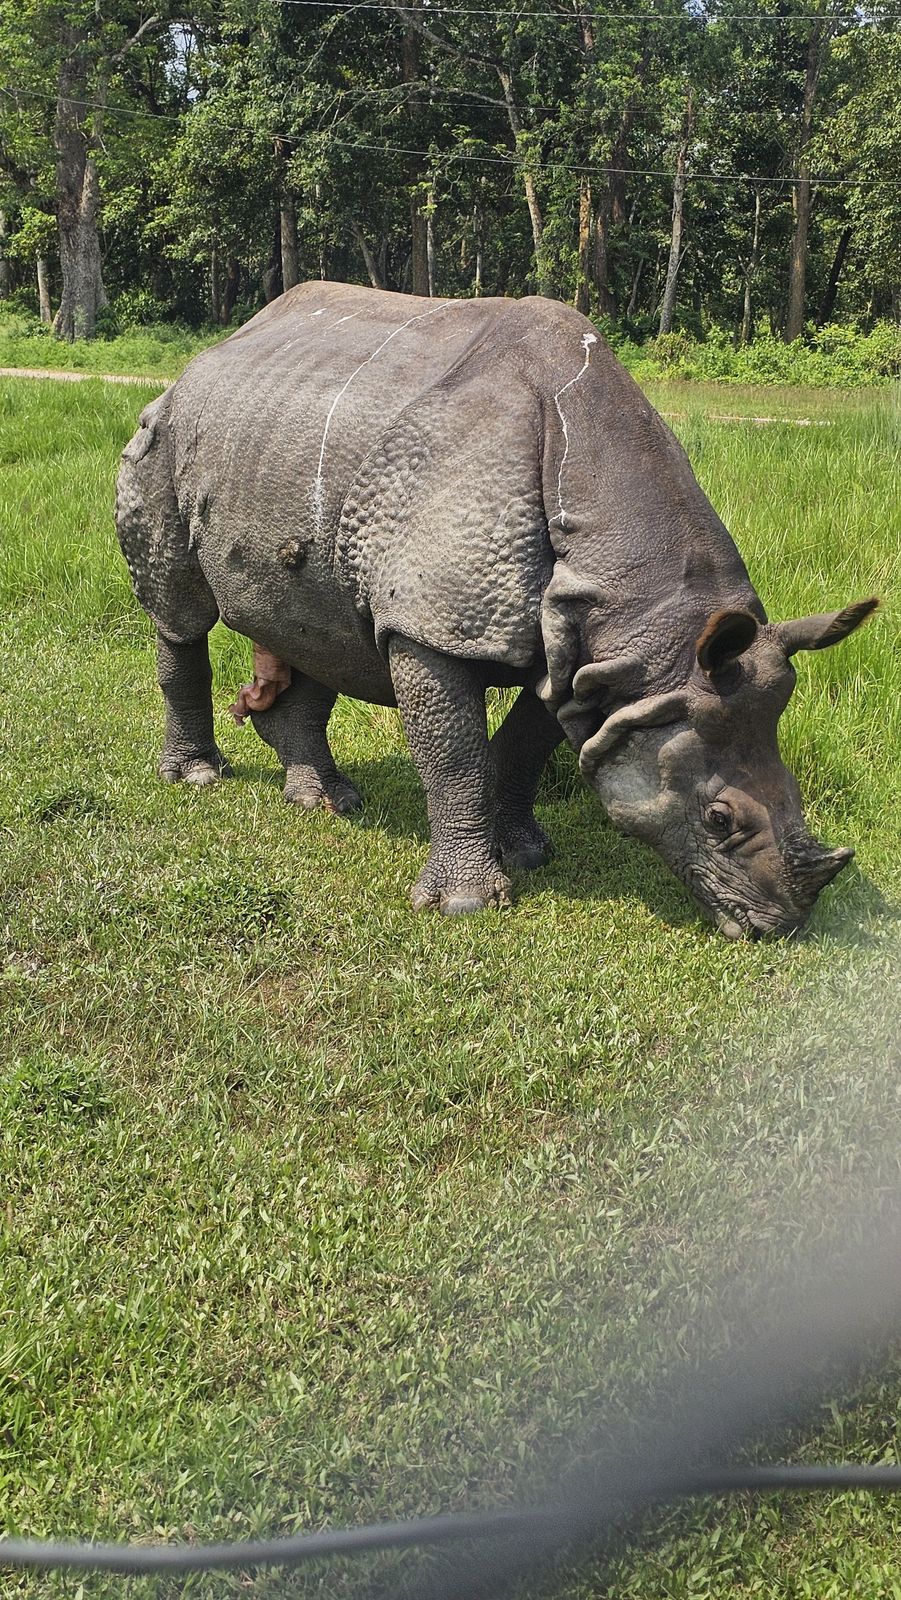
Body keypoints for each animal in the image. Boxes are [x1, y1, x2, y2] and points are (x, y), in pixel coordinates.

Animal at [116, 281, 876, 935]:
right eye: (718, 821)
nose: (779, 926)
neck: (654, 632)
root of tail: (209, 354)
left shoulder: (589, 654)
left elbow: (522, 747)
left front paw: (527, 853)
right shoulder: (433, 628)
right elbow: (452, 755)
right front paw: (466, 904)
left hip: (283, 448)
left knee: (313, 622)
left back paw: (327, 800)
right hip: (163, 435)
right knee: (180, 617)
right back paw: (199, 777)